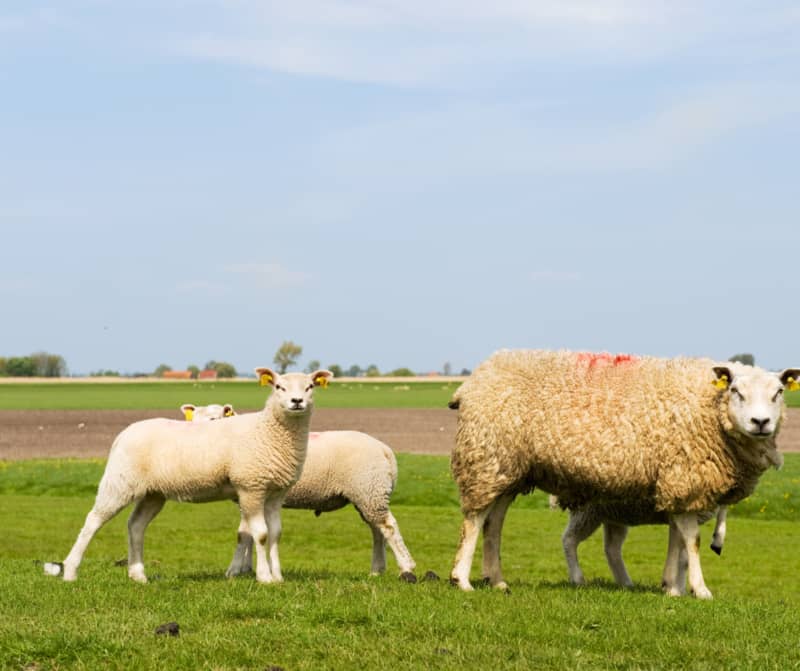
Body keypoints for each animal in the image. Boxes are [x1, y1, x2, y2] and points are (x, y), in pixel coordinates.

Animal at [44, 368, 332, 584]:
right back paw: (70, 571)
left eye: (309, 387)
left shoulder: (275, 493)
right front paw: (264, 577)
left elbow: (275, 534)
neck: (269, 431)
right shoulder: (251, 487)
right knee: (92, 521)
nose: (297, 402)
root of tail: (124, 433)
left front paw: (278, 576)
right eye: (279, 387)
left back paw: (138, 575)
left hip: (152, 493)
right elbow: (260, 534)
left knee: (135, 525)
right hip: (119, 482)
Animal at [182, 404, 416, 584]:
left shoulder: (251, 492)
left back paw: (406, 569)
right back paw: (377, 570)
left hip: (368, 489)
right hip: (369, 494)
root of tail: (385, 449)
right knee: (378, 530)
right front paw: (247, 569)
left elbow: (244, 534)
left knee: (388, 527)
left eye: (214, 419)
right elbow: (247, 534)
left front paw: (235, 570)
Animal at [446, 352, 796, 600]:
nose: (761, 422)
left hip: (508, 470)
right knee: (475, 520)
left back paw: (497, 580)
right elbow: (692, 542)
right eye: (736, 391)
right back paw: (461, 579)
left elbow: (679, 543)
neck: (708, 406)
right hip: (486, 457)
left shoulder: (678, 487)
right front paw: (699, 590)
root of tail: (478, 377)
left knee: (494, 522)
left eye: (779, 392)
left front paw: (673, 586)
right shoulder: (685, 477)